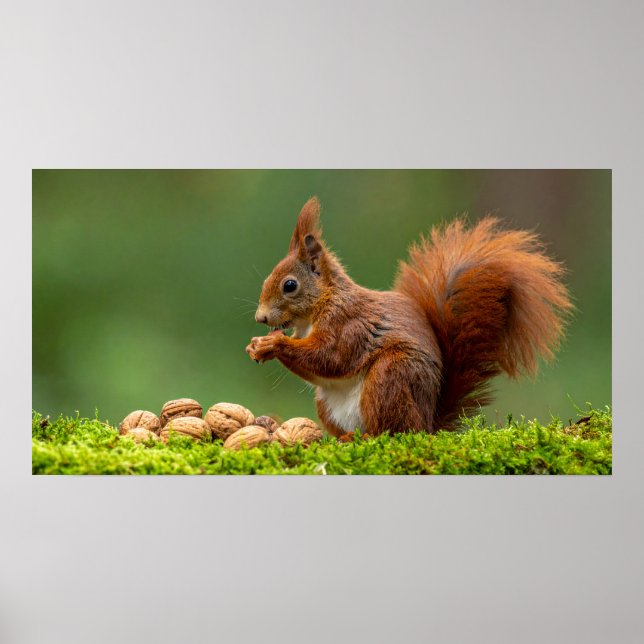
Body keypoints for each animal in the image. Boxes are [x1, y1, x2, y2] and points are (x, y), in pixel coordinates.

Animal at [246, 197, 572, 437]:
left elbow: (332, 356)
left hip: (391, 375)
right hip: (328, 403)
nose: (260, 318)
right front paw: (257, 346)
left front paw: (273, 345)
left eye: (290, 285)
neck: (320, 307)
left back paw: (364, 437)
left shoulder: (349, 323)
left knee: (392, 430)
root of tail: (427, 423)